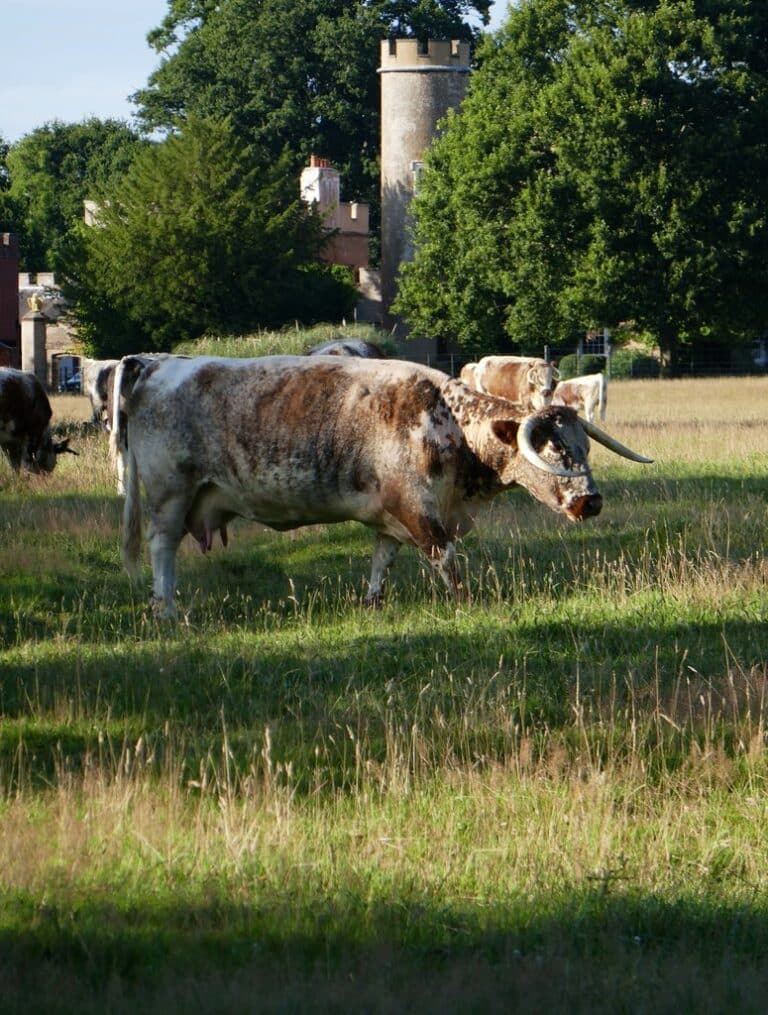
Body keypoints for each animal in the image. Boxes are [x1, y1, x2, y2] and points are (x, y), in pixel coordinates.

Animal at [110, 354, 652, 618]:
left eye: (584, 449)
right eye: (554, 451)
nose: (591, 501)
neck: (446, 418)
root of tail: (153, 365)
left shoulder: (391, 516)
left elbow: (381, 563)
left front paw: (371, 605)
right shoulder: (419, 510)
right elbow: (446, 560)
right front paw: (467, 603)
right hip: (169, 496)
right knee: (161, 549)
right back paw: (166, 609)